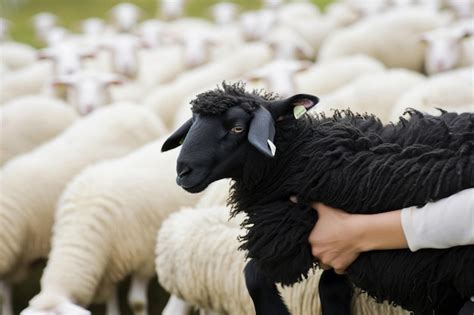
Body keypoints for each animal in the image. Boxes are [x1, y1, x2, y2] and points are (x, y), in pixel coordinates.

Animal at [161, 82, 472, 314]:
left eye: (237, 128)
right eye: (193, 125)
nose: (183, 171)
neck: (298, 156)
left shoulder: (292, 234)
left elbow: (253, 274)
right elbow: (328, 284)